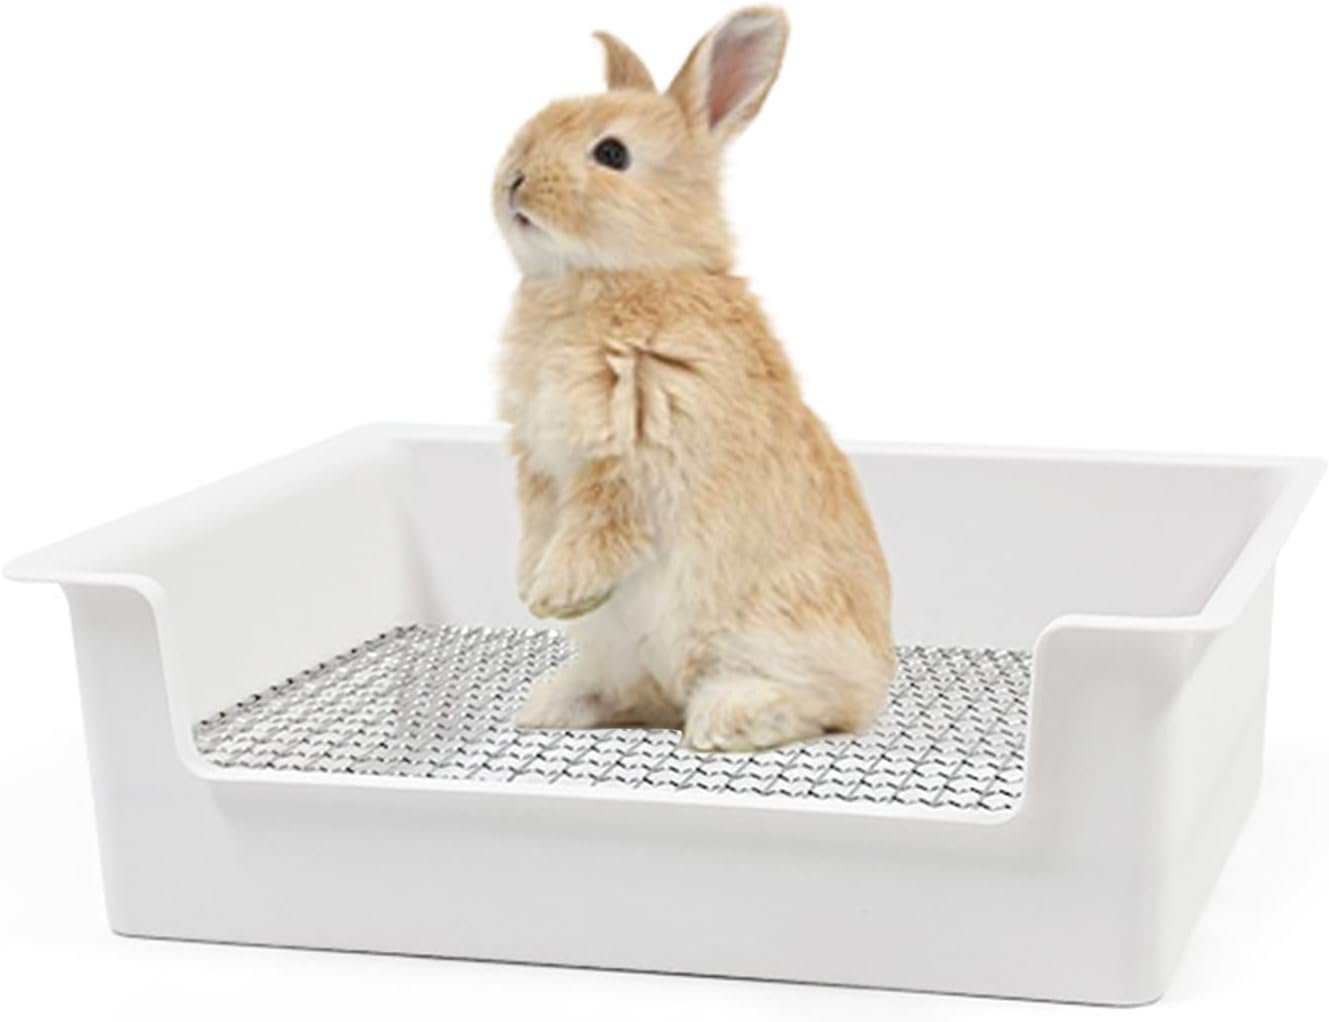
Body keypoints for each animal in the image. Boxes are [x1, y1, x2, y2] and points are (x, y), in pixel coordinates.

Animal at [493, 6, 895, 752]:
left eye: (612, 155)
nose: (513, 179)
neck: (620, 275)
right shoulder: (536, 463)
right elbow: (538, 527)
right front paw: (530, 589)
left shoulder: (631, 453)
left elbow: (596, 528)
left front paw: (555, 593)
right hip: (626, 655)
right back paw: (553, 703)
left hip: (776, 631)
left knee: (825, 704)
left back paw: (726, 717)